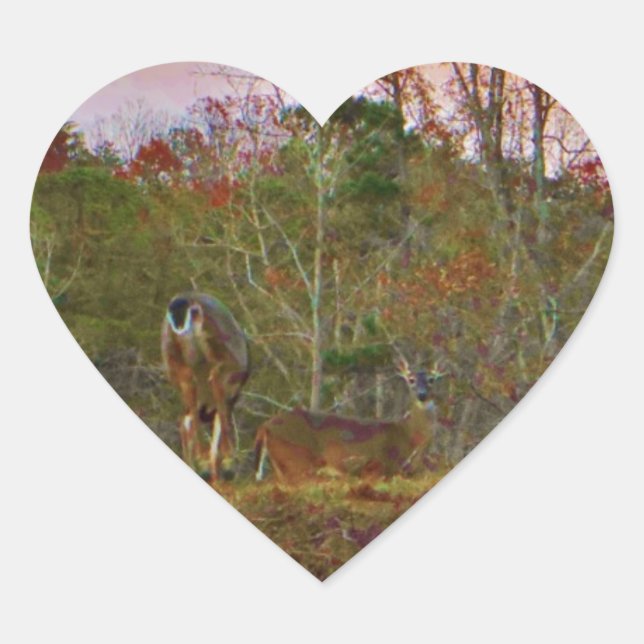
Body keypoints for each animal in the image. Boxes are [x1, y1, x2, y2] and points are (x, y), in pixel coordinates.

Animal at [254, 357, 441, 483]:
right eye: (411, 380)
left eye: (432, 380)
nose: (422, 395)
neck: (408, 435)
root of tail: (264, 426)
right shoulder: (379, 467)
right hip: (296, 459)